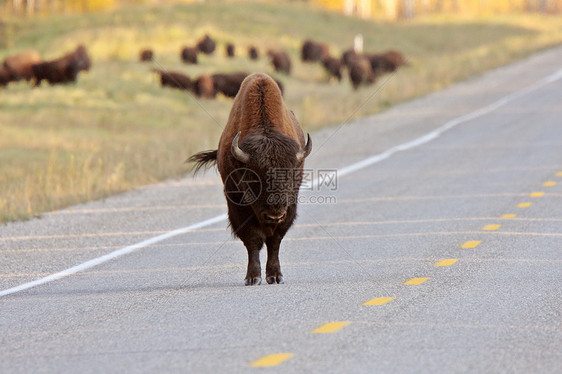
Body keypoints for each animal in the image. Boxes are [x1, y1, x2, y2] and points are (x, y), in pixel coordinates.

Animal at [188, 71, 310, 284]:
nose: (274, 214)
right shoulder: (237, 205)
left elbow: (274, 241)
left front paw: (275, 276)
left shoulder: (289, 207)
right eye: (253, 178)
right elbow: (252, 239)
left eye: (290, 175)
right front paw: (253, 277)